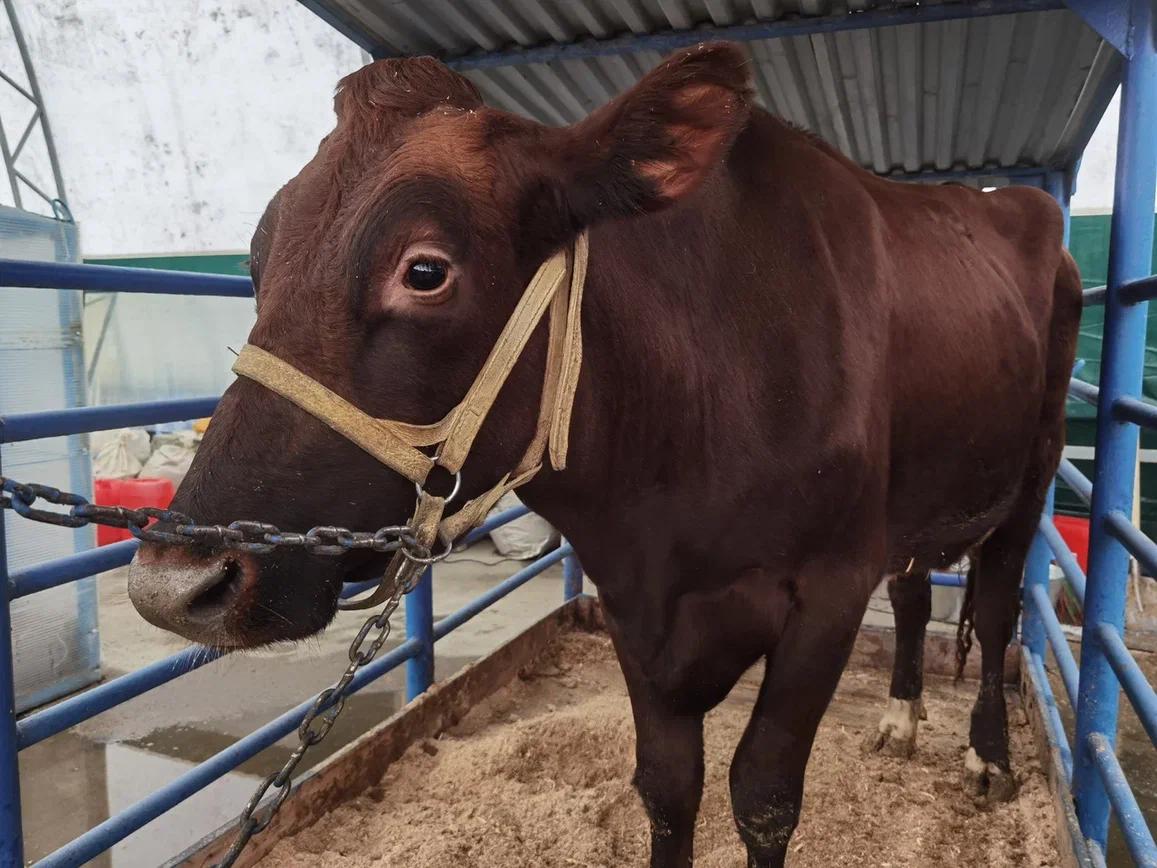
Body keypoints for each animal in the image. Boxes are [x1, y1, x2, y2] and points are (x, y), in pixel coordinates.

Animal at [131, 44, 1078, 865]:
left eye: (425, 270)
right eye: (256, 263)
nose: (176, 582)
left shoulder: (829, 590)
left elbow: (764, 795)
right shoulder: (632, 602)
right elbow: (667, 785)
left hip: (1033, 468)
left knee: (997, 608)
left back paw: (986, 756)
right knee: (917, 591)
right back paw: (901, 718)